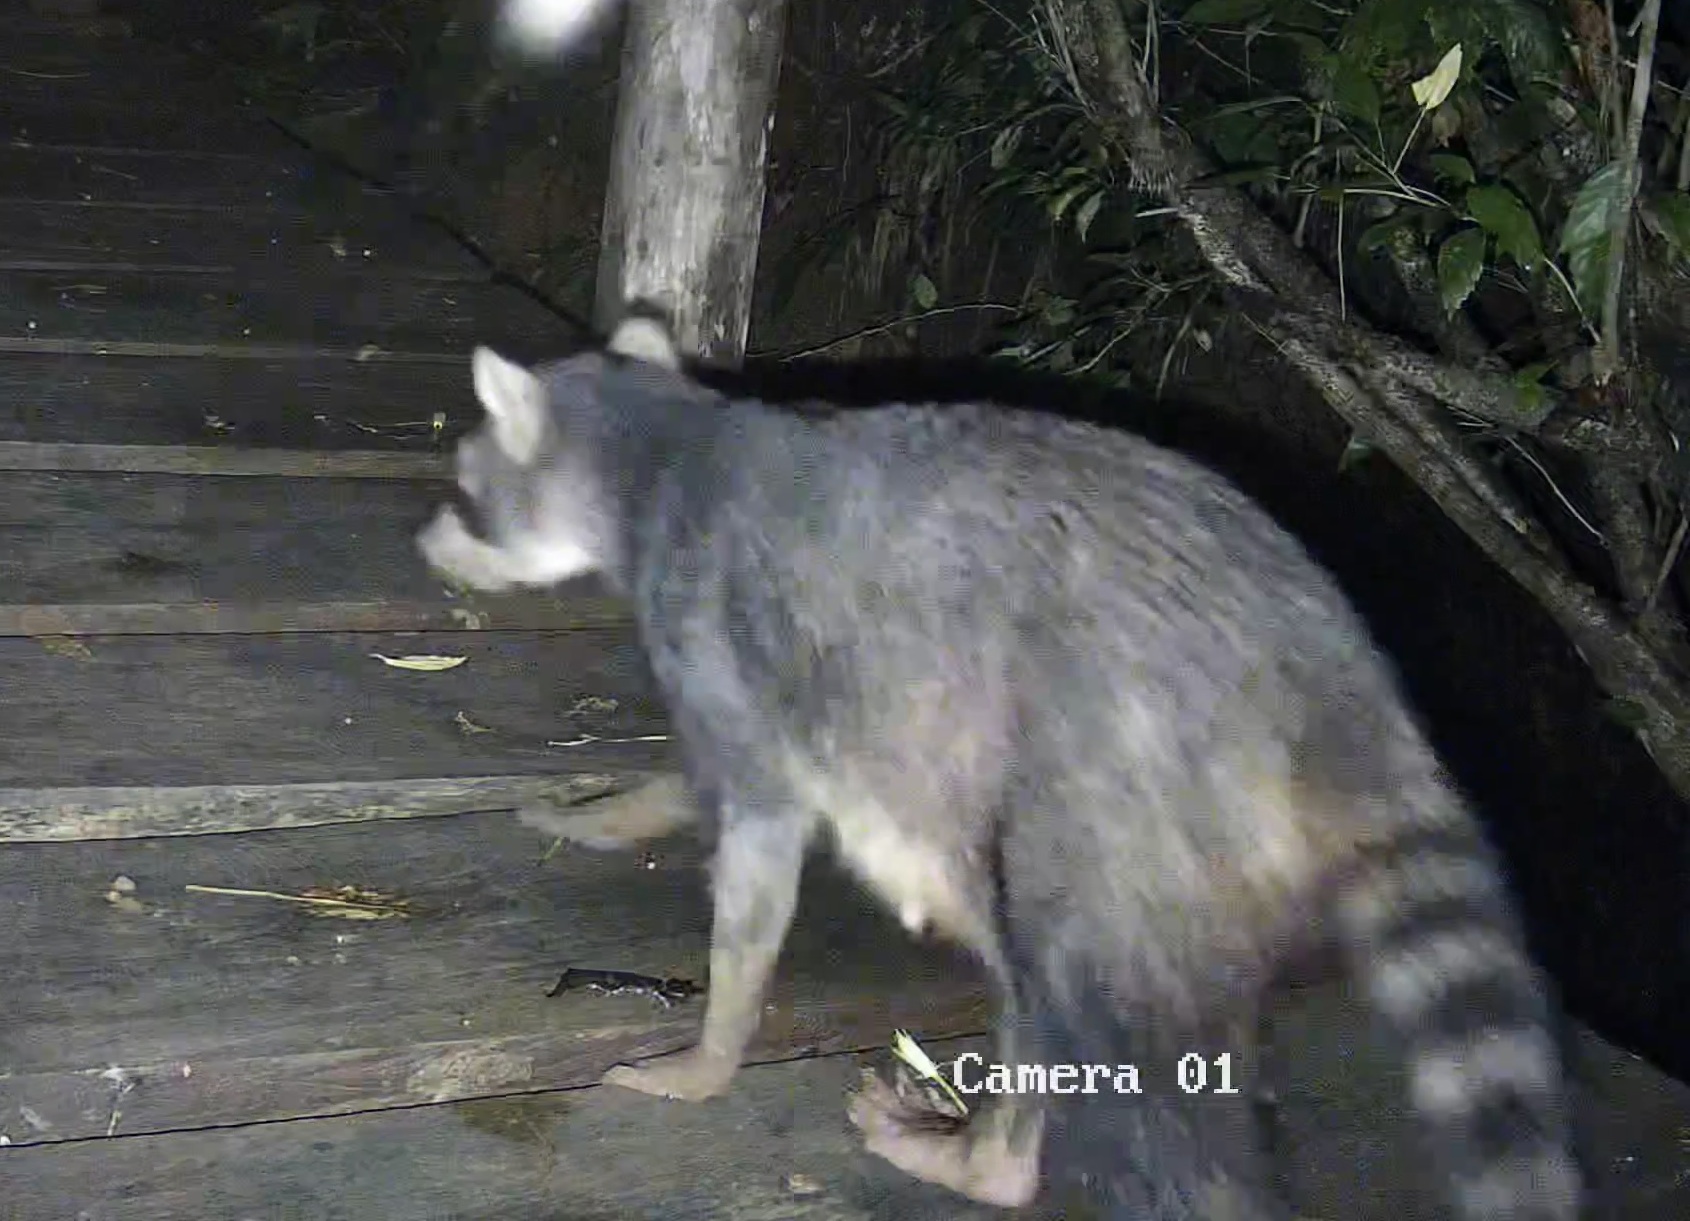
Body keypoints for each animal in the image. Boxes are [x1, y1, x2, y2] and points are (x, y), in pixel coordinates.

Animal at [417, 313, 1581, 1220]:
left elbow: (751, 838)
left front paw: (707, 1036)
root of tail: (1329, 673)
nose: (429, 541)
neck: (665, 439)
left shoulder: (711, 630)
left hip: (1119, 799)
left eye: (467, 486)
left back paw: (995, 1160)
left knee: (1073, 996)